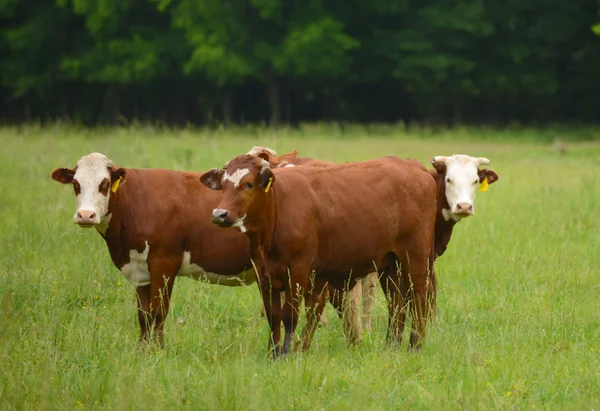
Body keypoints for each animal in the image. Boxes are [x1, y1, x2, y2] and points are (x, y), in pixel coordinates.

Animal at [50, 150, 310, 346]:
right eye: (76, 184)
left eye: (104, 183)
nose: (86, 215)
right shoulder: (140, 271)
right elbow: (143, 316)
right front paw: (142, 351)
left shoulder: (164, 263)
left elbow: (158, 313)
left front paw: (157, 351)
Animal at [199, 154, 438, 358]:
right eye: (224, 185)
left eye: (248, 184)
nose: (219, 214)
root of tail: (413, 165)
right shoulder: (264, 275)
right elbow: (273, 318)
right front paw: (272, 354)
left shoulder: (297, 272)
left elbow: (290, 317)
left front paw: (285, 354)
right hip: (389, 264)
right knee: (396, 303)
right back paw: (392, 346)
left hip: (415, 257)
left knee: (418, 297)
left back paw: (415, 346)